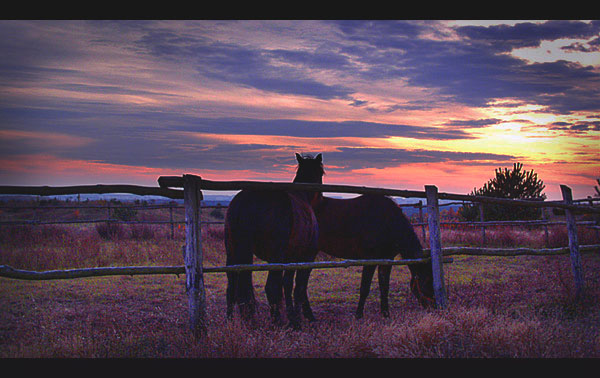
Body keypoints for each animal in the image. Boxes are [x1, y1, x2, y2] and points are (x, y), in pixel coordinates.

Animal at [223, 154, 324, 328]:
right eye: (321, 173)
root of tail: (245, 201)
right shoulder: (305, 257)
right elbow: (298, 287)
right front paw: (300, 319)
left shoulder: (290, 258)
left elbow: (287, 285)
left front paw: (293, 317)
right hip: (275, 255)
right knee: (271, 286)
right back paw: (276, 320)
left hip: (233, 251)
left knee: (232, 286)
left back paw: (231, 321)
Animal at [304, 155, 436, 318]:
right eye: (427, 281)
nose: (434, 307)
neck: (388, 222)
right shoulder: (370, 259)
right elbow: (365, 288)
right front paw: (359, 315)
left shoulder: (386, 259)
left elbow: (384, 286)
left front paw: (386, 313)